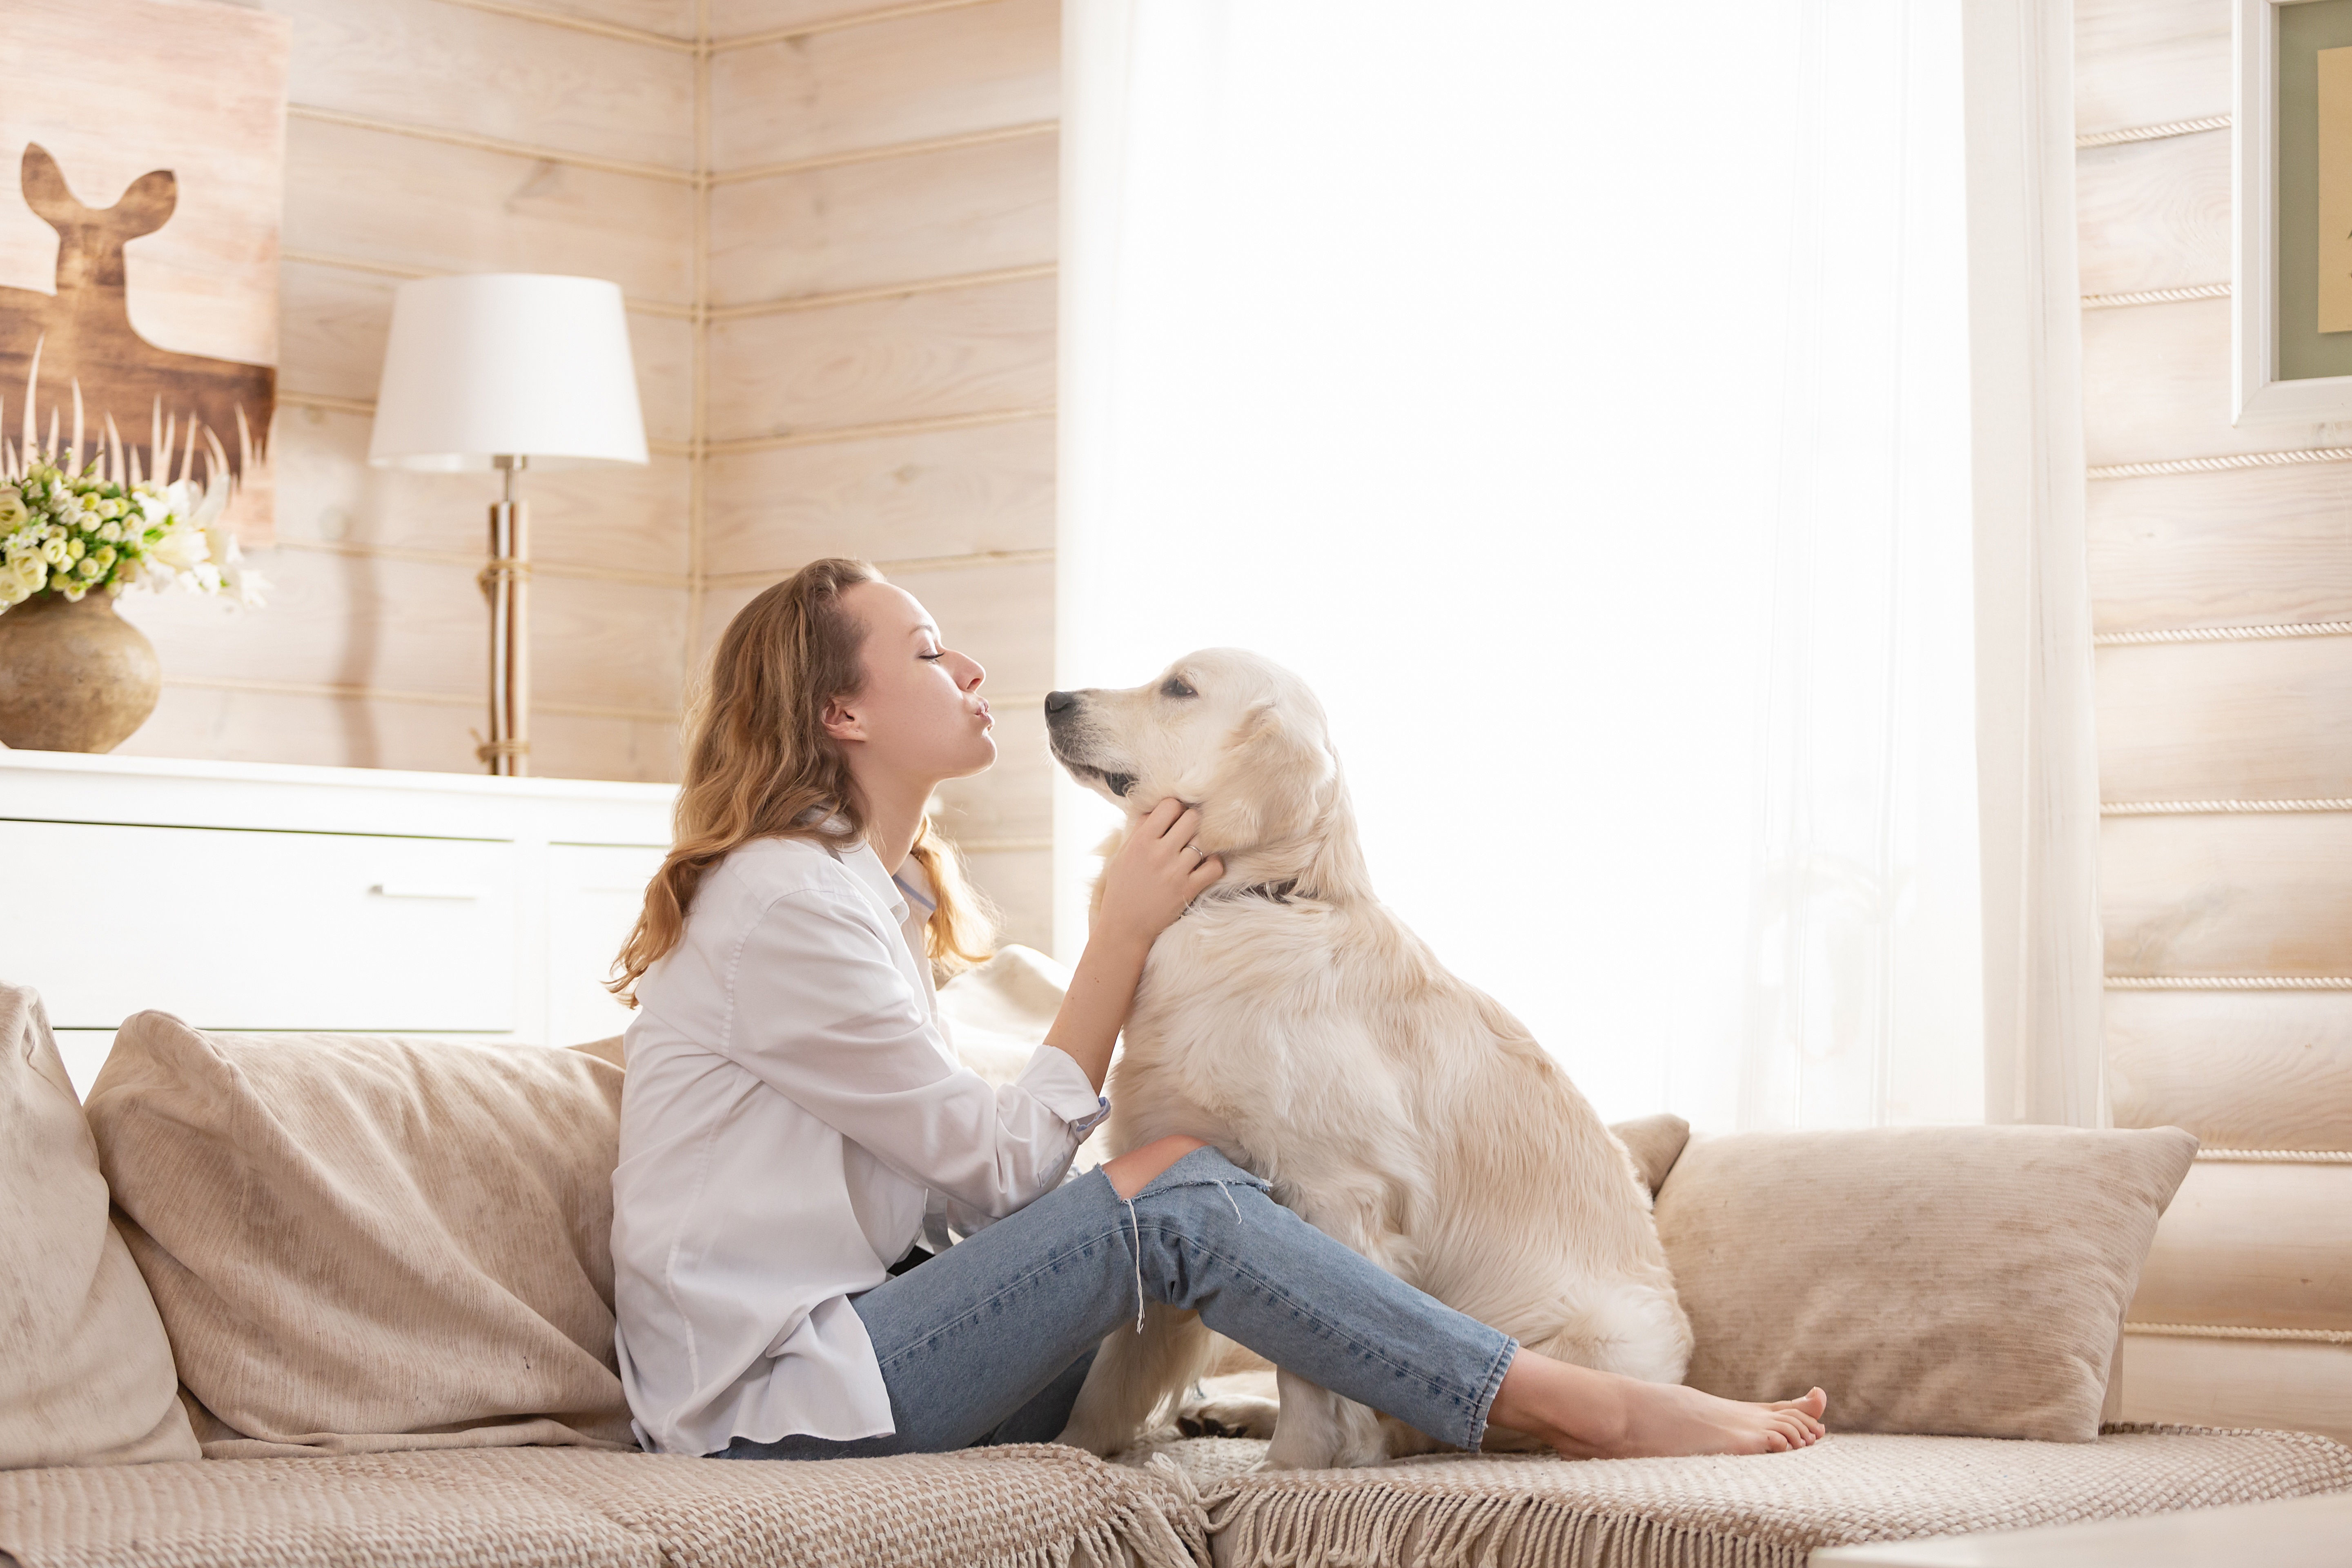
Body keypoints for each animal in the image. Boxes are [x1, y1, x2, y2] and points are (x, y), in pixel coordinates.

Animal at [1049, 648, 1693, 1476]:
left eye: (1180, 689)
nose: (1052, 700)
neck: (1256, 897)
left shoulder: (1337, 1192)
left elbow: (1311, 1367)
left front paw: (1292, 1468)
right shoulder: (1175, 1165)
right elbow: (1117, 1367)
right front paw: (1070, 1449)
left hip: (1594, 1336)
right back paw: (1236, 1411)